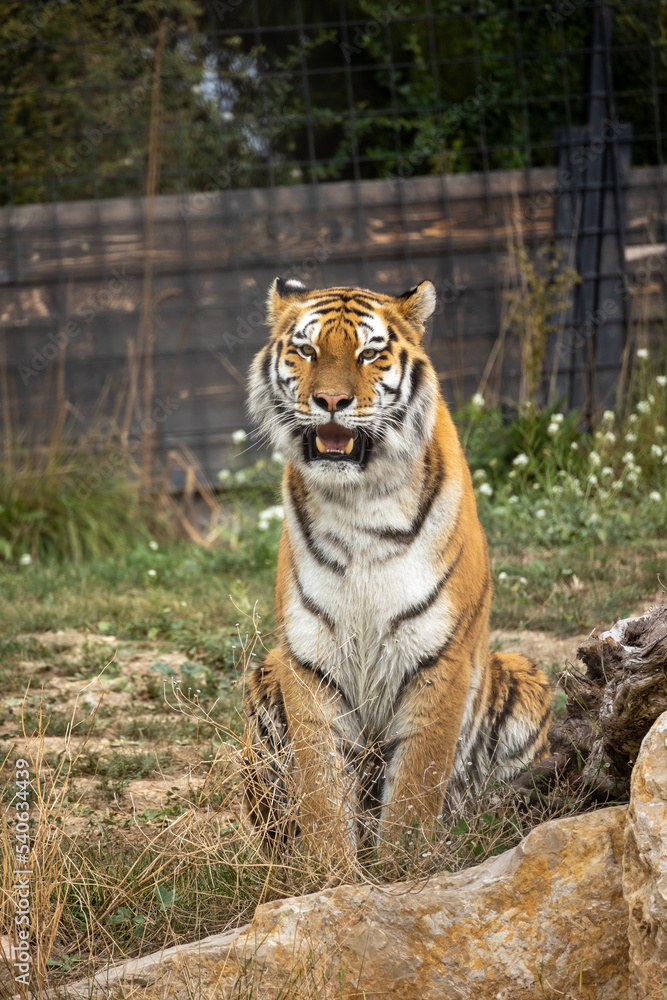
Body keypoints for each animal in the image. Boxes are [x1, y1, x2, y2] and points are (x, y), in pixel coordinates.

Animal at [243, 277, 552, 858]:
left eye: (369, 353)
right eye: (307, 350)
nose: (331, 401)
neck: (357, 503)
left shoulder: (439, 655)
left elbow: (413, 793)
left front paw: (399, 872)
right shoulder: (308, 658)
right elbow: (322, 794)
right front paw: (329, 874)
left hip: (525, 677)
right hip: (264, 674)